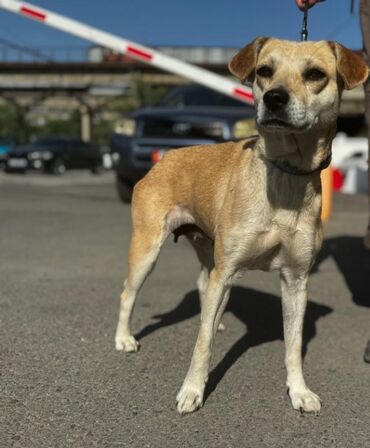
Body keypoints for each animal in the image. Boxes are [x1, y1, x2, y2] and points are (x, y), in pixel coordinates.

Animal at [114, 36, 368, 414]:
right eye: (264, 71)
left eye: (315, 74)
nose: (274, 98)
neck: (283, 177)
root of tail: (168, 155)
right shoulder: (228, 269)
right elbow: (202, 343)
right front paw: (192, 390)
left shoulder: (296, 280)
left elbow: (293, 346)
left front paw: (299, 391)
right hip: (148, 249)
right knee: (129, 293)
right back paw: (124, 338)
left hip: (209, 250)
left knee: (203, 285)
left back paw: (215, 317)